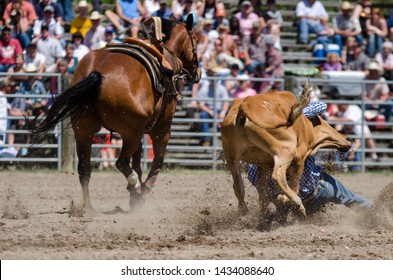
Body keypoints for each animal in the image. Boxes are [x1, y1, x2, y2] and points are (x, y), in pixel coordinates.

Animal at [31, 14, 201, 212]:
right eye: (195, 39)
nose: (197, 72)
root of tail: (97, 73)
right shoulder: (161, 129)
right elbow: (157, 162)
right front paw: (141, 193)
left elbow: (137, 162)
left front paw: (134, 195)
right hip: (132, 133)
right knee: (120, 162)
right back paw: (135, 186)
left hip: (85, 132)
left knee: (85, 170)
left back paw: (89, 208)